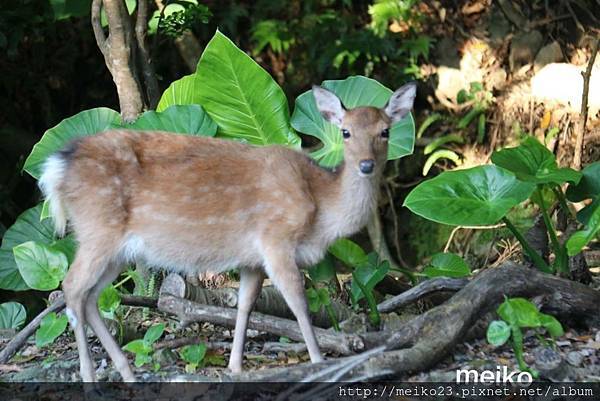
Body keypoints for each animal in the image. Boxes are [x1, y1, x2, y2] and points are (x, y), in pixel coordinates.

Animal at [38, 81, 418, 382]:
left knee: (89, 296)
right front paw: (318, 360)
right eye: (346, 132)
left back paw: (127, 372)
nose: (366, 165)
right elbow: (298, 302)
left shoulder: (251, 258)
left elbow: (246, 304)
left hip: (116, 248)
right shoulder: (276, 238)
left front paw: (235, 366)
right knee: (71, 287)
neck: (320, 210)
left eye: (385, 131)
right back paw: (89, 376)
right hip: (98, 229)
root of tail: (56, 167)